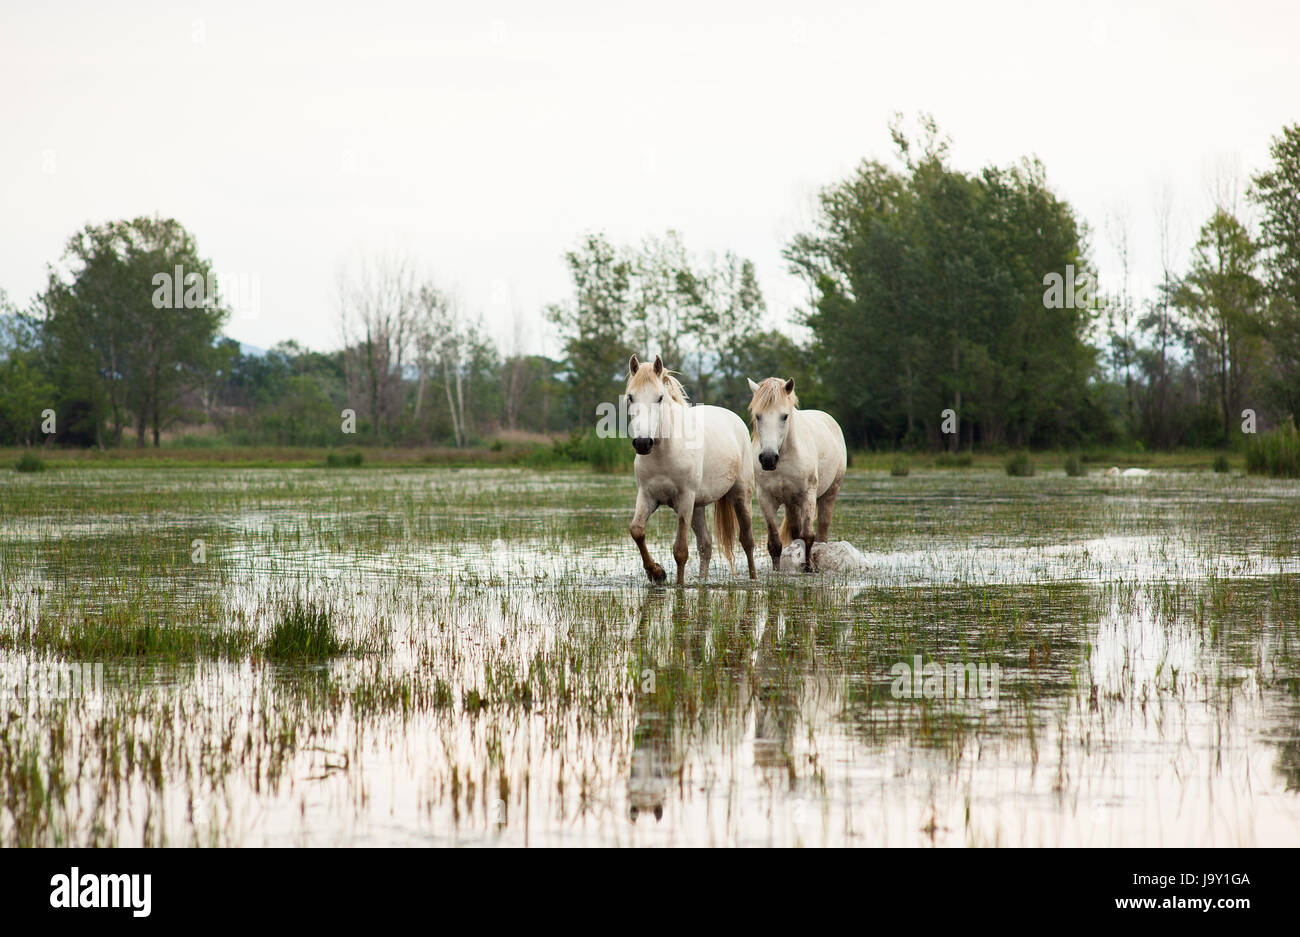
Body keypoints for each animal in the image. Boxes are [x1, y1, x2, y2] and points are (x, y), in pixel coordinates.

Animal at [626, 354, 758, 585]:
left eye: (659, 398)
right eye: (631, 397)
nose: (642, 443)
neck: (664, 453)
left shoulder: (685, 499)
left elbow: (680, 551)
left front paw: (679, 585)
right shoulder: (647, 496)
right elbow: (637, 531)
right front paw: (657, 572)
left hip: (741, 496)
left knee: (747, 541)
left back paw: (753, 579)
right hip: (698, 506)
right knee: (705, 545)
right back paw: (702, 581)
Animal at [746, 377, 847, 572]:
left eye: (784, 416)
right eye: (758, 416)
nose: (768, 458)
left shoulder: (808, 496)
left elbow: (808, 535)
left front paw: (809, 568)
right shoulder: (765, 498)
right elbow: (775, 542)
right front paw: (777, 570)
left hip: (830, 493)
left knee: (822, 530)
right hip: (791, 503)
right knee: (795, 532)